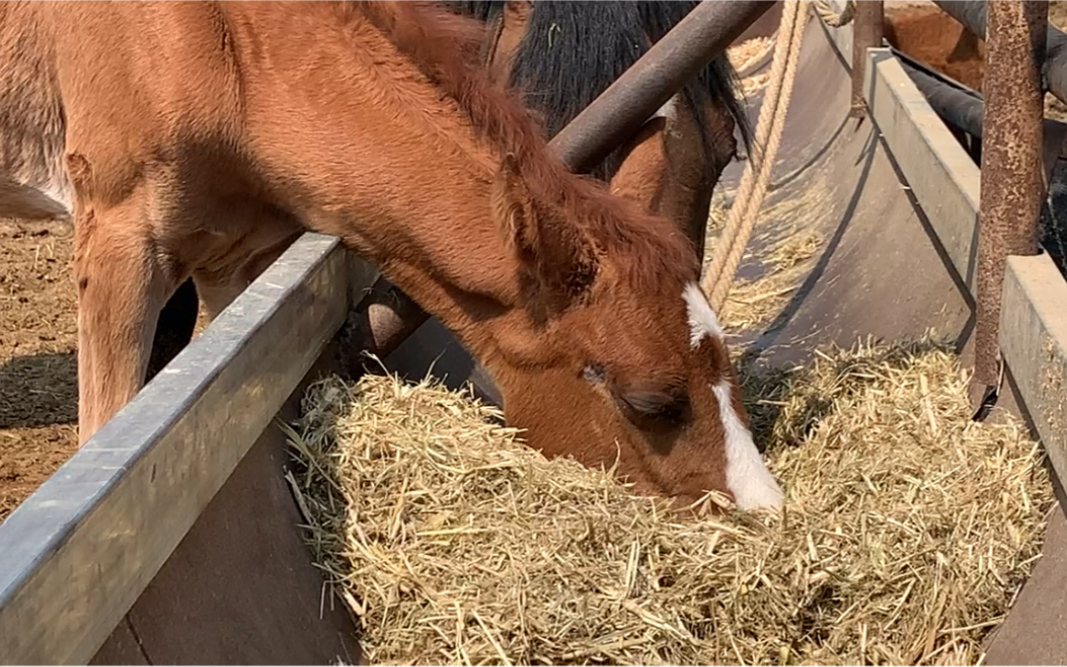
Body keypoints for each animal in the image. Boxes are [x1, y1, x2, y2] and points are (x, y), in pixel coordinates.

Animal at [0, 0, 785, 510]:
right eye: (650, 401)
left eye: (726, 148)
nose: (765, 512)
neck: (232, 53)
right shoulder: (120, 240)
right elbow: (104, 426)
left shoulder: (238, 265)